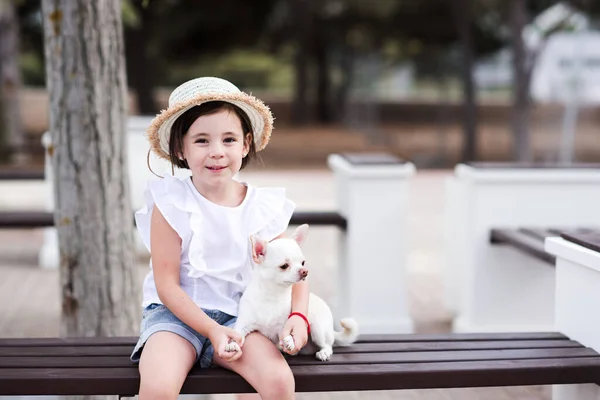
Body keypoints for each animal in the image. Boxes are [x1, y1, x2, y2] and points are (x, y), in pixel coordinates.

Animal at [224, 223, 356, 360]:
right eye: (284, 266)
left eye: (303, 262)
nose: (304, 271)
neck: (272, 296)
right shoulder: (243, 324)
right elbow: (237, 333)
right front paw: (233, 343)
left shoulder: (283, 328)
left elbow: (286, 337)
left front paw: (290, 342)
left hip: (318, 329)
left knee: (328, 345)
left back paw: (324, 352)